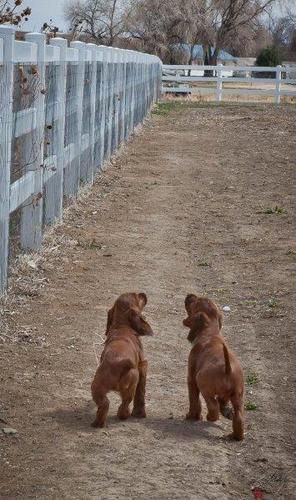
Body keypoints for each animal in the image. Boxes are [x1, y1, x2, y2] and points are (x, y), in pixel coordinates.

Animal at [91, 292, 154, 428]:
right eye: (137, 297)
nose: (143, 293)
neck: (122, 327)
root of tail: (116, 364)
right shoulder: (143, 365)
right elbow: (141, 392)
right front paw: (140, 413)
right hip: (132, 381)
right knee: (125, 403)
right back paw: (124, 415)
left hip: (96, 387)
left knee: (104, 404)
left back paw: (97, 423)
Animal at [184, 294, 244, 440]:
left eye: (195, 302)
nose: (189, 295)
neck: (210, 332)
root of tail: (228, 369)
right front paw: (227, 411)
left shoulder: (191, 379)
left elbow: (194, 400)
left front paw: (192, 416)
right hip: (238, 396)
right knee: (238, 416)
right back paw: (235, 435)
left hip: (202, 383)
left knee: (213, 406)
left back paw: (210, 417)